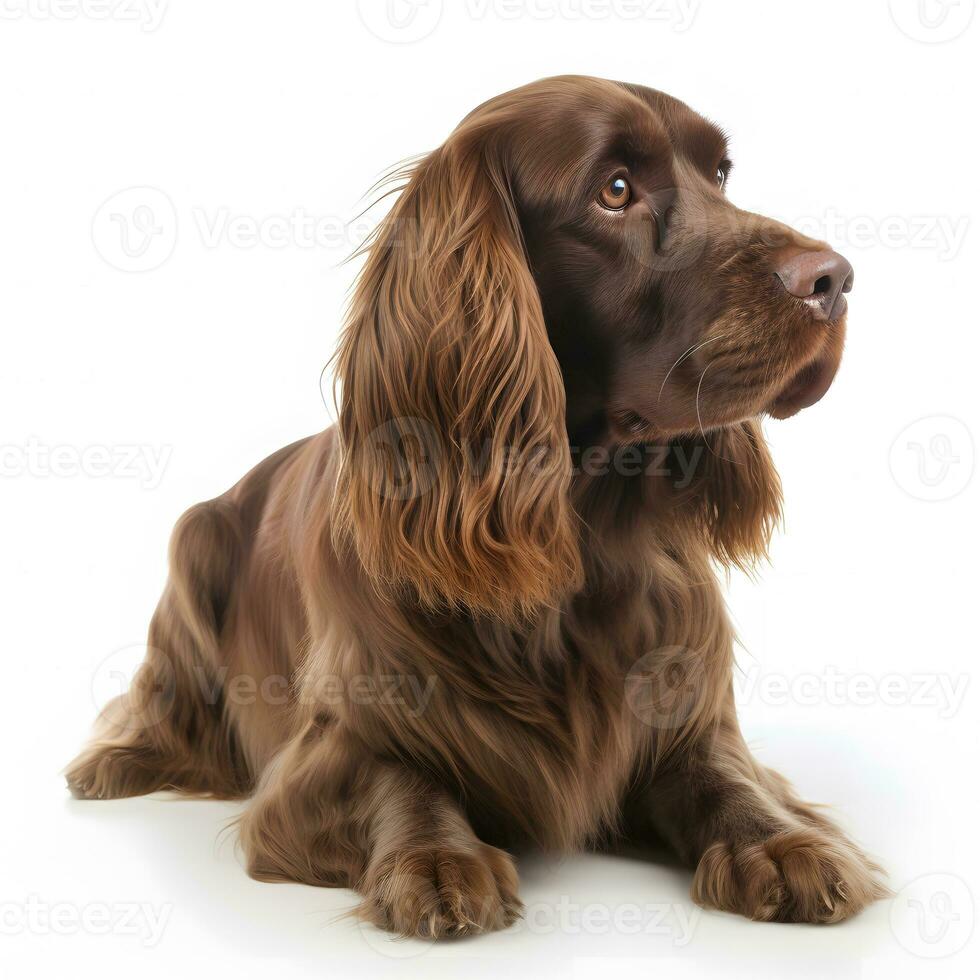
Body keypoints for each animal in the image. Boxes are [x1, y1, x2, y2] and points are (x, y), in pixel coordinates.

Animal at [65, 74, 884, 936]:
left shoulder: (687, 715)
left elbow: (727, 778)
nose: (833, 278)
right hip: (191, 547)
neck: (582, 537)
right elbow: (403, 777)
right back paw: (112, 762)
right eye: (614, 190)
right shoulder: (333, 748)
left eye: (721, 174)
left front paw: (782, 844)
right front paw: (434, 857)